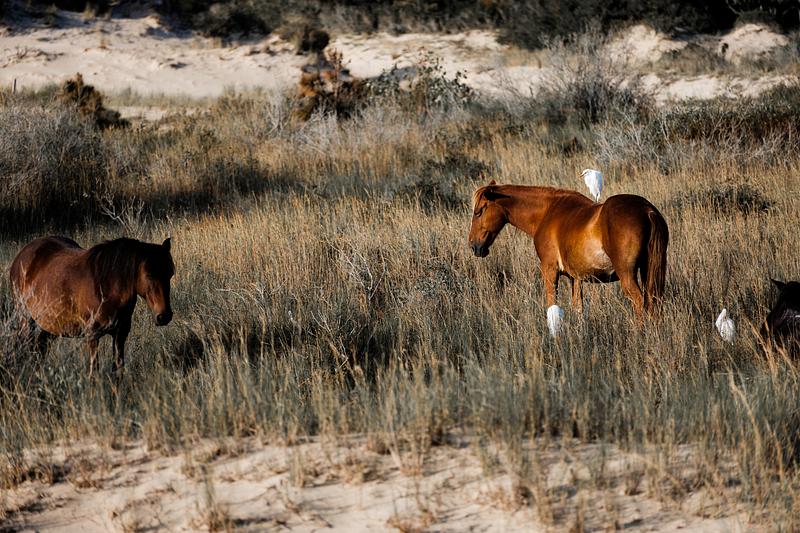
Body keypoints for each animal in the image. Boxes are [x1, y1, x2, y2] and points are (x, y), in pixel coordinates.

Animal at [9, 236, 175, 379]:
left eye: (170, 273)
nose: (164, 316)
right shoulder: (93, 336)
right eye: (149, 275)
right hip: (25, 319)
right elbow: (93, 373)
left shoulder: (120, 335)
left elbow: (117, 372)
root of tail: (22, 254)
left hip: (51, 325)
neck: (107, 286)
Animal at [468, 181, 669, 317]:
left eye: (479, 212)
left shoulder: (549, 270)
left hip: (627, 275)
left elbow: (552, 305)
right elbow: (578, 308)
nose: (474, 246)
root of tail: (647, 210)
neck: (547, 212)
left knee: (640, 303)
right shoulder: (576, 278)